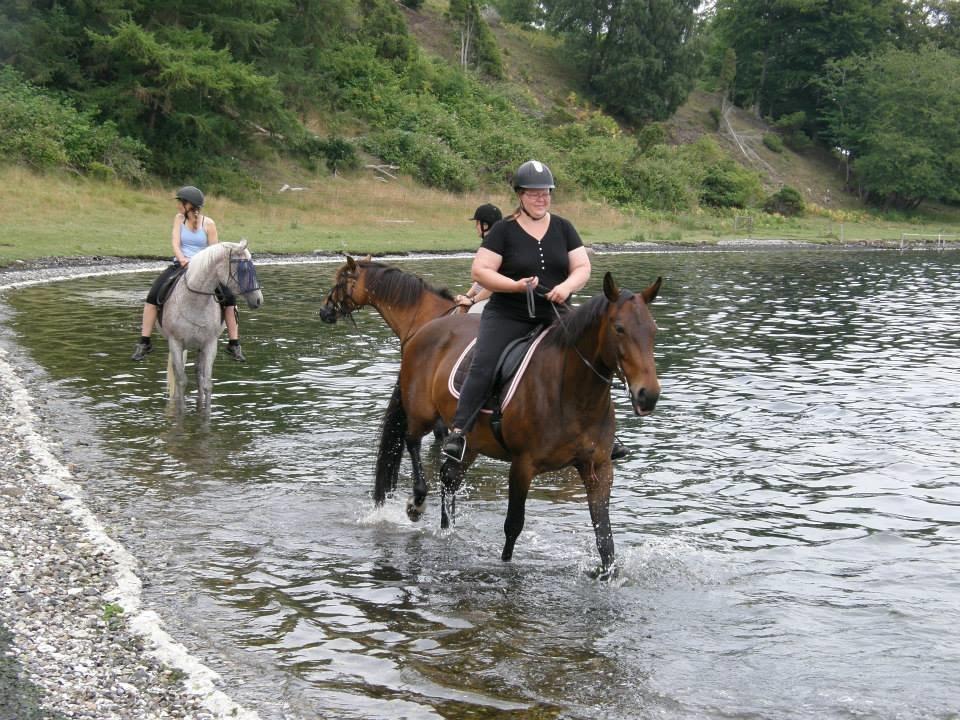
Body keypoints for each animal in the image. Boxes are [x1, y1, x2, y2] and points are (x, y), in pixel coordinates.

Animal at [161, 239, 264, 414]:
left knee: (198, 374)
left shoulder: (209, 344)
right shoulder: (175, 342)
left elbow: (207, 383)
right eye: (244, 269)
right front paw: (181, 413)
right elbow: (181, 381)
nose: (258, 300)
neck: (194, 301)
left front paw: (206, 415)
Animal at [378, 272, 664, 572]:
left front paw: (607, 574)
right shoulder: (522, 465)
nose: (648, 395)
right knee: (412, 441)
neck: (574, 395)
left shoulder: (597, 467)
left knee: (449, 476)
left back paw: (447, 532)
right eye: (619, 328)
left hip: (472, 442)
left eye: (653, 330)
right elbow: (513, 525)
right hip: (422, 413)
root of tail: (423, 331)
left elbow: (605, 538)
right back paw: (417, 502)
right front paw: (505, 565)